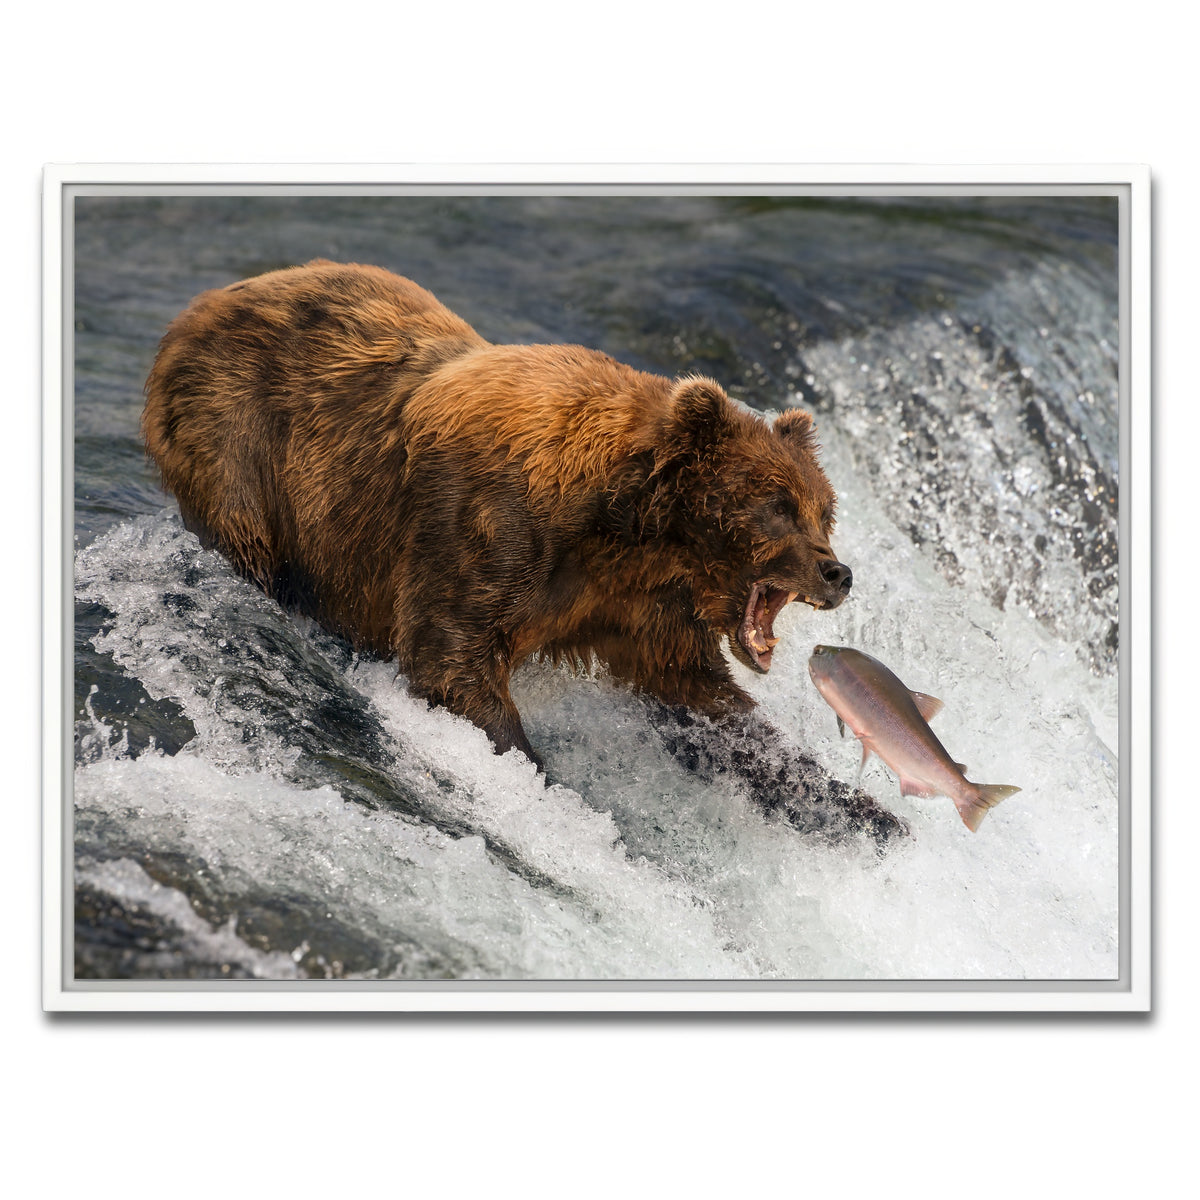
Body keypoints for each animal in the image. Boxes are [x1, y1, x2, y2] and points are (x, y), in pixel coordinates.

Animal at [143, 260, 903, 845]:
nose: (837, 571)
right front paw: (541, 778)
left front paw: (862, 810)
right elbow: (453, 657)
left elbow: (704, 701)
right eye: (778, 505)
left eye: (824, 509)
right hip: (241, 439)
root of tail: (202, 304)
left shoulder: (635, 606)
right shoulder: (488, 527)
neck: (627, 527)